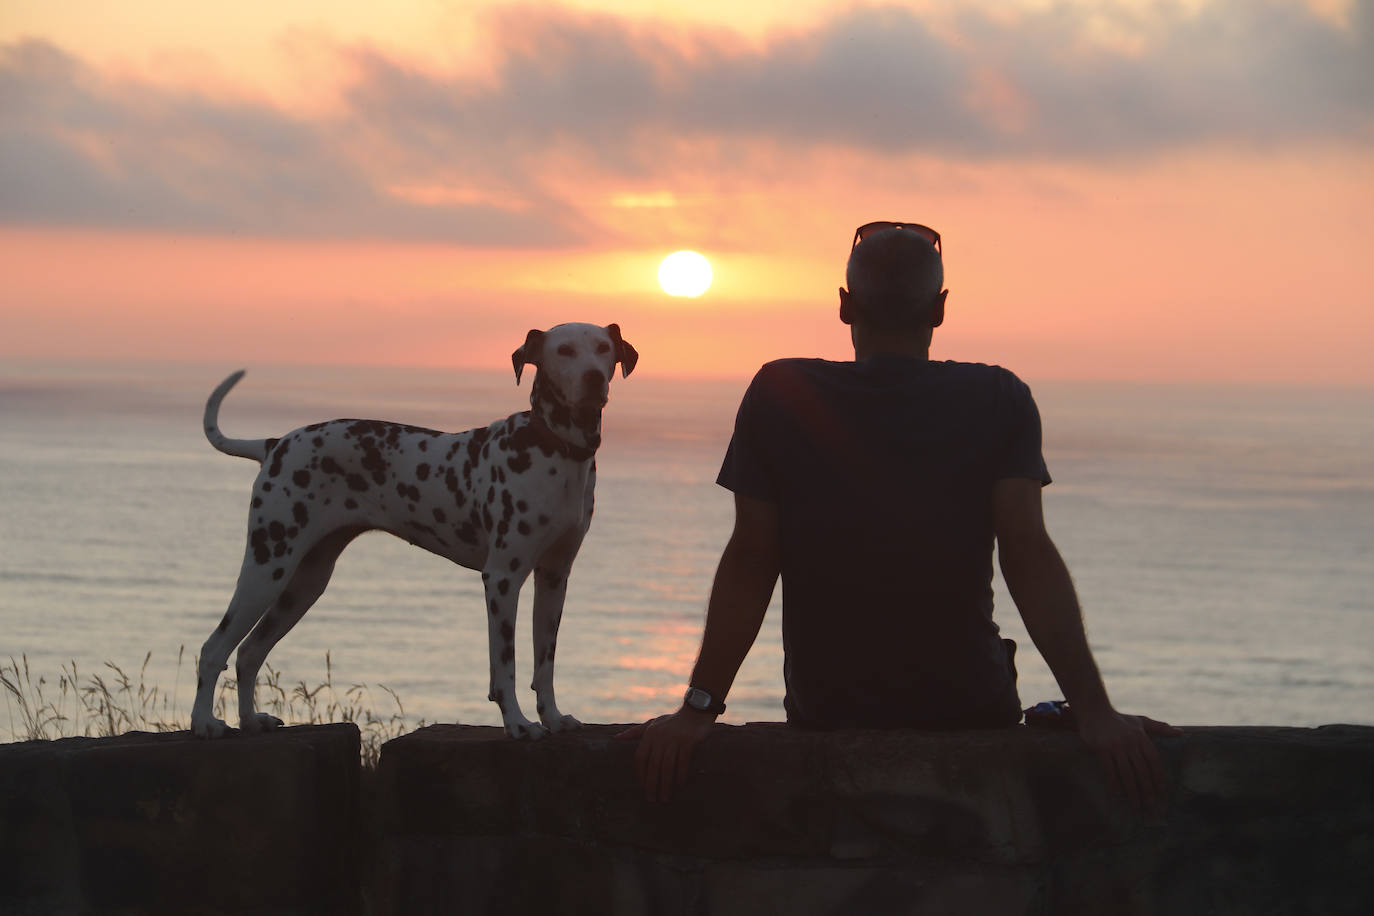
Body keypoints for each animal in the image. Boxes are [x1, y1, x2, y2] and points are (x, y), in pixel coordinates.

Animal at [189, 322, 637, 736]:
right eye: (563, 350)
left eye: (603, 348)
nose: (593, 377)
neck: (554, 449)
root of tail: (275, 444)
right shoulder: (503, 579)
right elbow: (505, 668)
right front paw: (518, 724)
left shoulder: (554, 578)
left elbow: (545, 665)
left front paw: (554, 718)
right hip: (268, 566)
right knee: (214, 648)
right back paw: (203, 723)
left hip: (304, 583)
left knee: (249, 652)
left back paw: (250, 720)